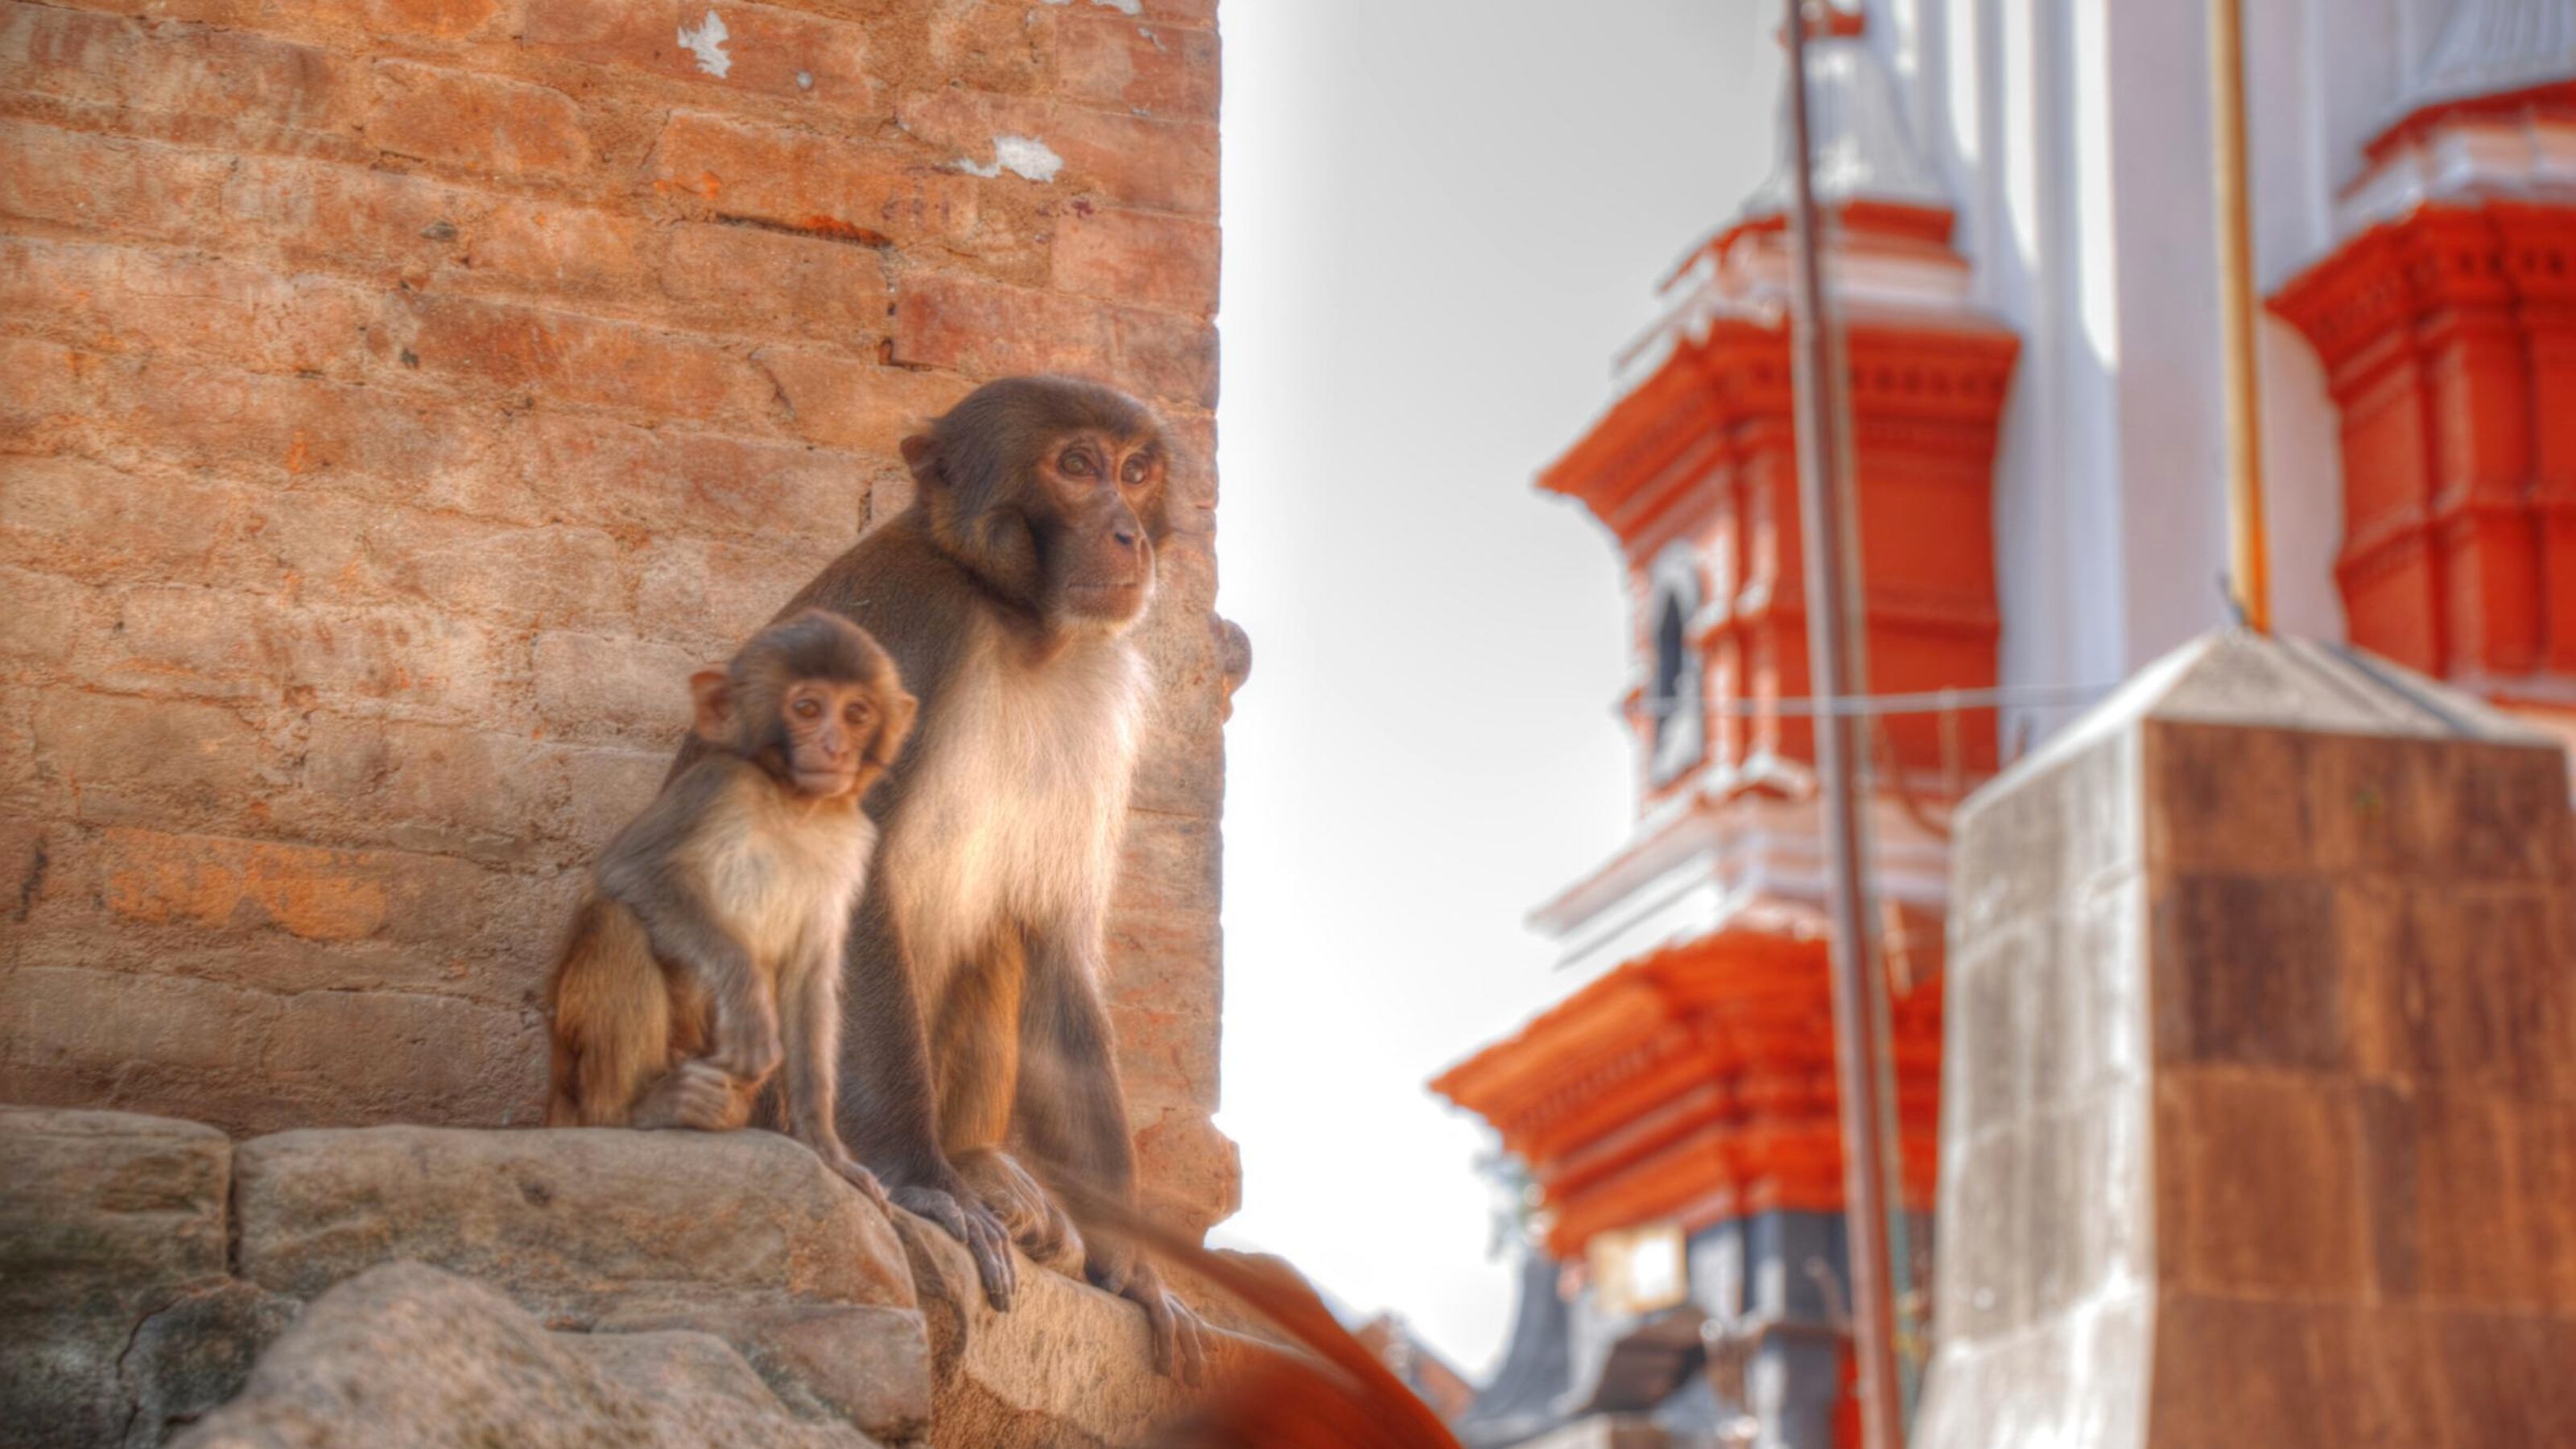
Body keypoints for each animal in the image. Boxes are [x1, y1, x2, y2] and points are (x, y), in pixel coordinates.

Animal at [548, 609, 916, 1210]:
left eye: (857, 713)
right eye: (807, 708)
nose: (835, 747)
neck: (794, 804)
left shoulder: (851, 841)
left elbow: (808, 981)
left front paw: (827, 1148)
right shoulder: (717, 785)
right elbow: (630, 871)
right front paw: (749, 1004)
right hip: (570, 1080)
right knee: (616, 920)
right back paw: (631, 1111)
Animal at [672, 375, 1207, 1382]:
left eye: (1135, 471)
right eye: (1076, 465)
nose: (1130, 534)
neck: (1011, 616)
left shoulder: (1096, 685)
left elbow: (1055, 941)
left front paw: (1135, 1270)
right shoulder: (918, 631)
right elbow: (852, 882)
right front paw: (922, 1182)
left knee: (1002, 935)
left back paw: (985, 1164)